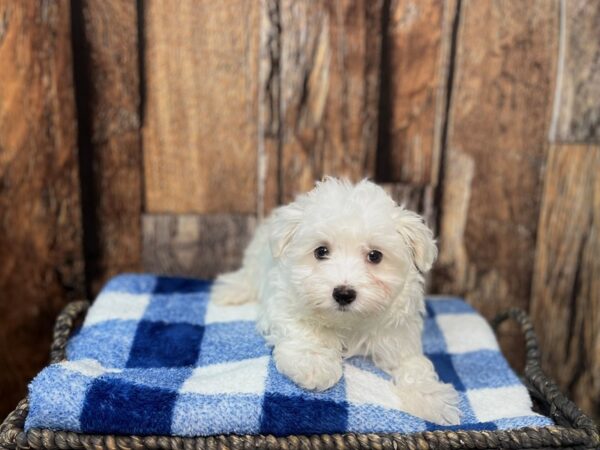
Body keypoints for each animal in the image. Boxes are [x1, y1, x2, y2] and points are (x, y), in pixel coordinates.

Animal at [211, 178, 460, 424]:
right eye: (321, 251)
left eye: (375, 256)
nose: (343, 294)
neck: (347, 322)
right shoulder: (284, 302)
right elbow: (304, 330)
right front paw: (314, 362)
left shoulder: (398, 332)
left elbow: (413, 363)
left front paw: (431, 397)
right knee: (248, 276)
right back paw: (231, 291)